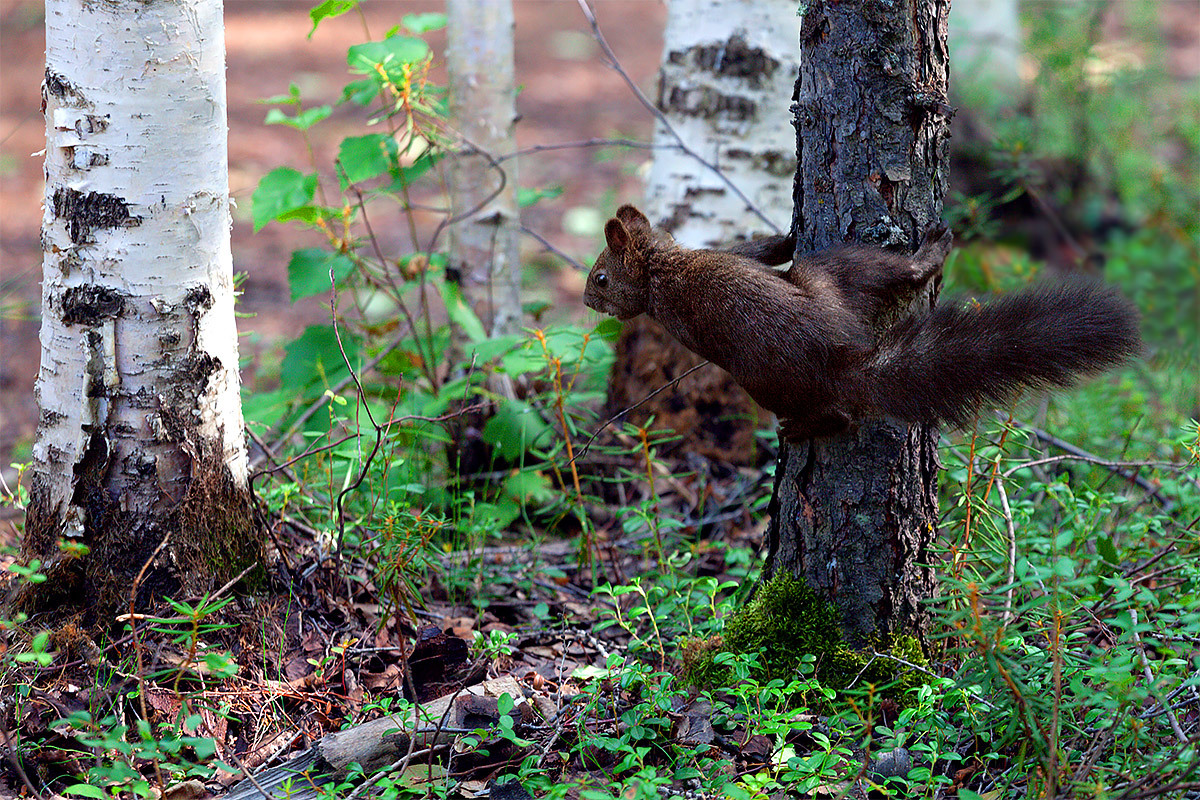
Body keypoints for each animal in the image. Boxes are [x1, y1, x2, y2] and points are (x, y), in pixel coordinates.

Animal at [585, 203, 1137, 441]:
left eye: (600, 278)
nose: (589, 302)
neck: (660, 269)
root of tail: (843, 360)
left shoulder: (721, 253)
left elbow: (766, 249)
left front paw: (788, 232)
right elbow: (762, 252)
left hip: (829, 288)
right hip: (824, 287)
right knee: (839, 413)